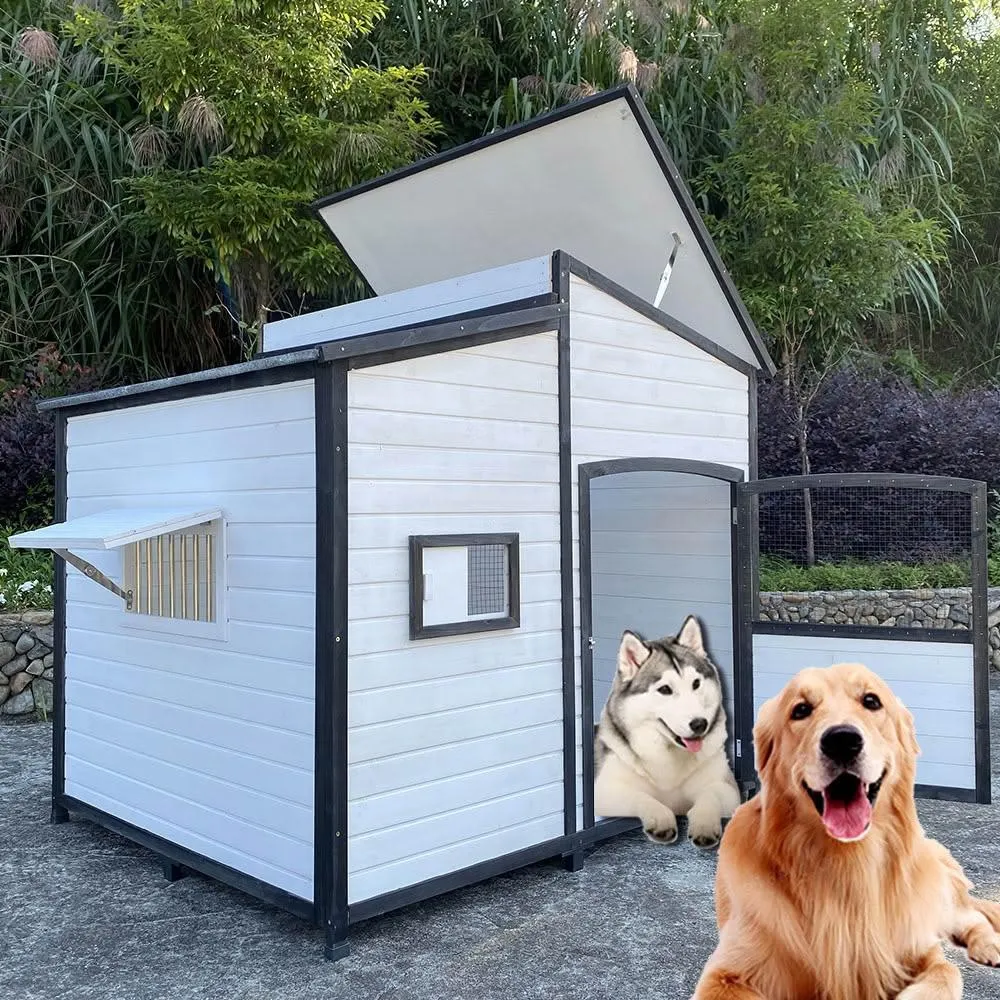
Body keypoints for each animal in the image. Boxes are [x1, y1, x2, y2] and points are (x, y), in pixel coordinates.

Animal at [593, 615, 740, 849]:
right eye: (665, 689)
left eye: (696, 683)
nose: (700, 724)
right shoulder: (604, 792)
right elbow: (642, 796)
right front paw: (661, 819)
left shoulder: (727, 788)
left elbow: (710, 796)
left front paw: (705, 825)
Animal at [692, 661, 1000, 1000]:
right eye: (801, 709)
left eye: (871, 701)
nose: (842, 740)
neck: (847, 863)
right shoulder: (728, 971)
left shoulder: (919, 947)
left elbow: (946, 971)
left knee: (971, 916)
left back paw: (990, 945)